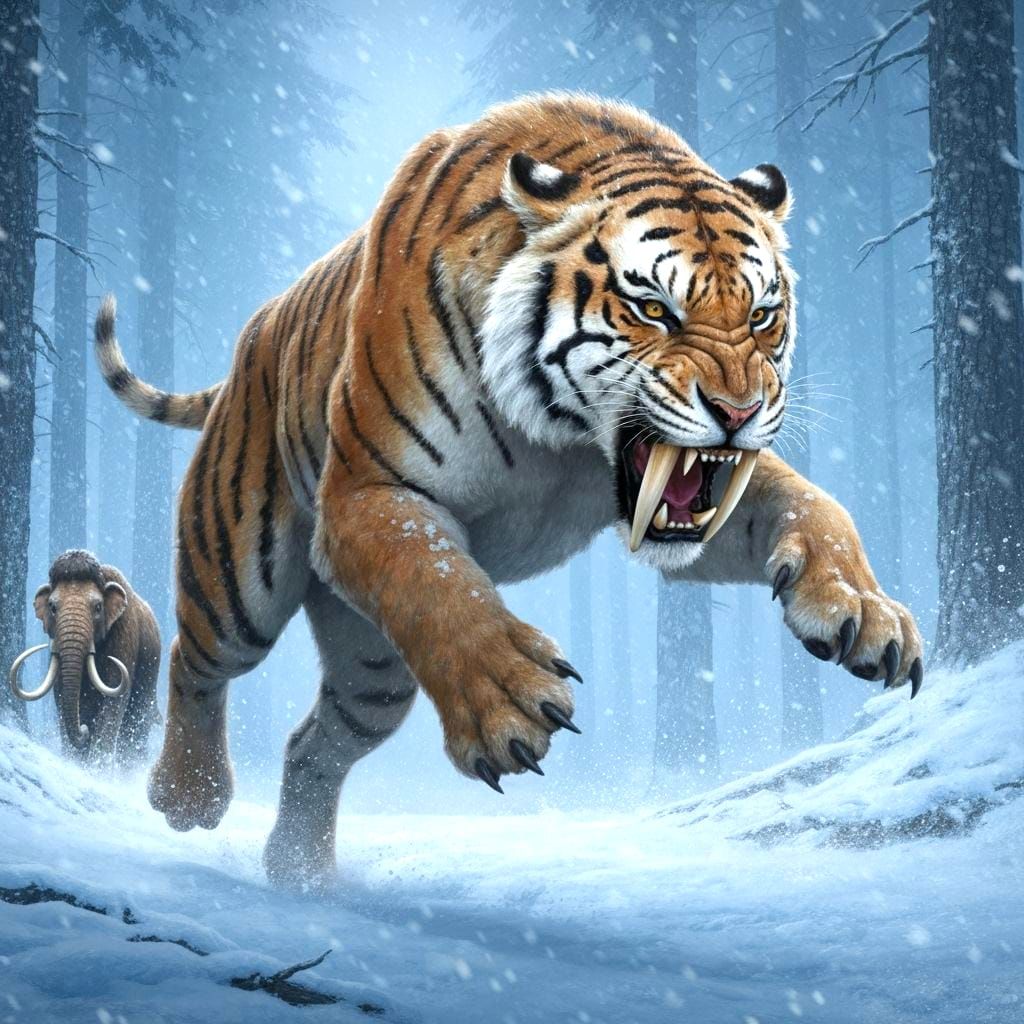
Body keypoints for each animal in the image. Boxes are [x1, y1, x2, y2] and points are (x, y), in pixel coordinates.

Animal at [95, 92, 923, 891]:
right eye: (655, 309)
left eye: (761, 315)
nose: (741, 411)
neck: (561, 434)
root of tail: (253, 332)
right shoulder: (368, 492)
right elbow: (433, 574)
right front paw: (507, 699)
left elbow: (818, 503)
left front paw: (864, 609)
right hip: (241, 577)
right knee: (195, 659)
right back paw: (189, 795)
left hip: (373, 673)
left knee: (313, 747)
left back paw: (301, 874)